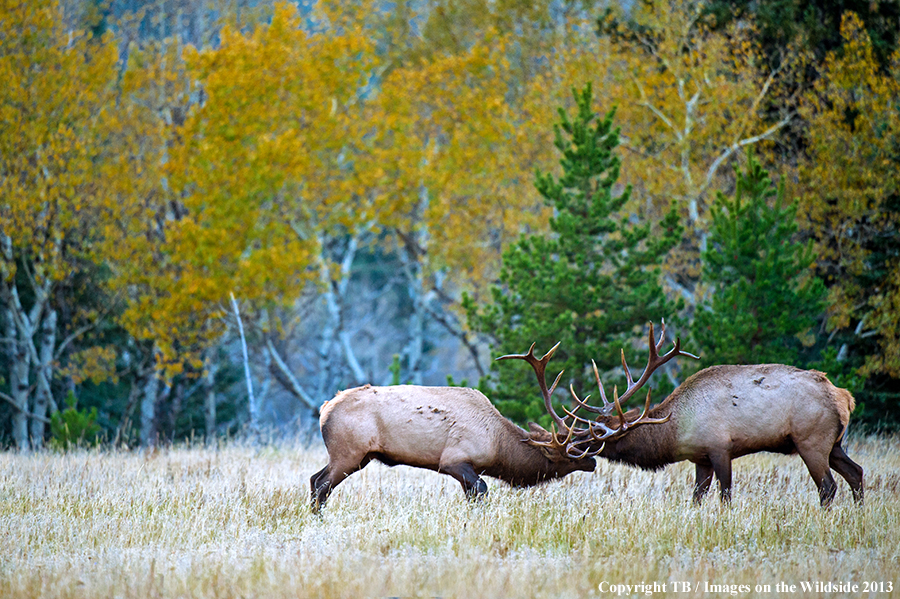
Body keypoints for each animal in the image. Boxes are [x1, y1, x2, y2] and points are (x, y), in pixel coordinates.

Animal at [506, 324, 864, 506]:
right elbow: (696, 498)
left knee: (828, 486)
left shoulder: (720, 447)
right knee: (856, 473)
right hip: (834, 443)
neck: (675, 430)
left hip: (811, 439)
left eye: (593, 438)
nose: (579, 454)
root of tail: (844, 397)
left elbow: (725, 495)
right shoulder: (700, 458)